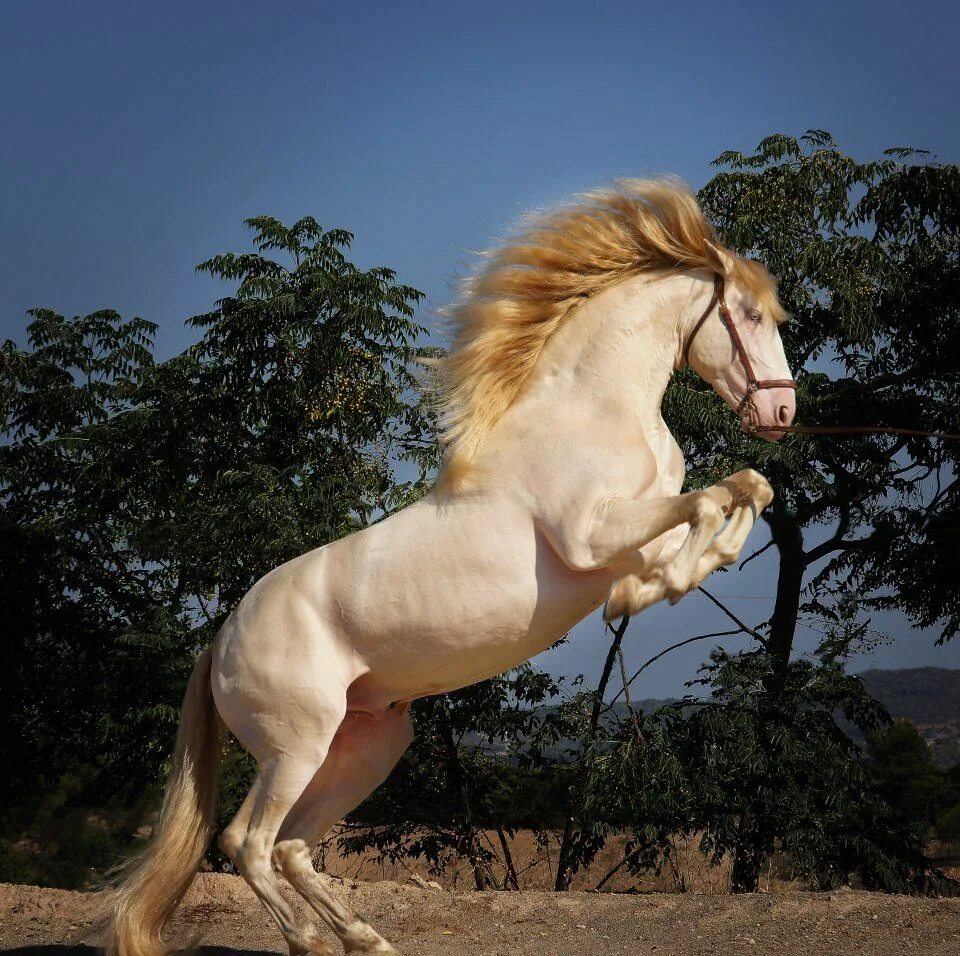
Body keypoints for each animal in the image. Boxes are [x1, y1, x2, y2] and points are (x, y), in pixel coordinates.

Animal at [107, 179, 796, 956]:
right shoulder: (591, 534)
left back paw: (366, 938)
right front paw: (655, 589)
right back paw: (311, 942)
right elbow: (710, 500)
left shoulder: (631, 531)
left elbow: (744, 491)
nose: (782, 410)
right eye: (748, 315)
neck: (593, 412)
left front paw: (643, 591)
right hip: (295, 746)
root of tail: (219, 641)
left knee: (293, 847)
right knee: (247, 843)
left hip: (364, 746)